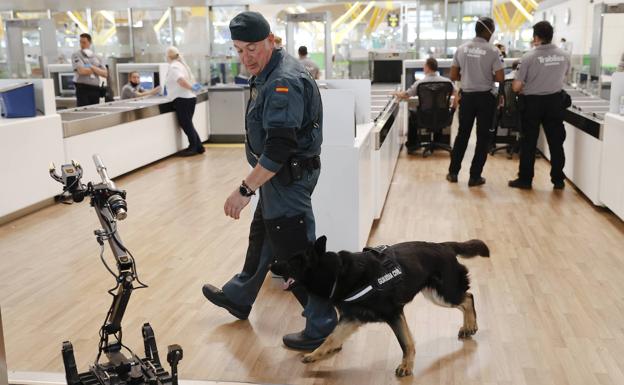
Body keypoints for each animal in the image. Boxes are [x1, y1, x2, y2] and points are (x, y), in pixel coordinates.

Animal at [270, 236, 490, 376]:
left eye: (292, 262)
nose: (271, 264)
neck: (338, 272)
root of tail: (444, 246)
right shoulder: (352, 318)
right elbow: (332, 337)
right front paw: (316, 354)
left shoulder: (394, 314)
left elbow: (405, 342)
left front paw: (406, 366)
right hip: (436, 295)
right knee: (466, 298)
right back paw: (468, 327)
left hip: (444, 294)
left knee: (468, 297)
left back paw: (470, 326)